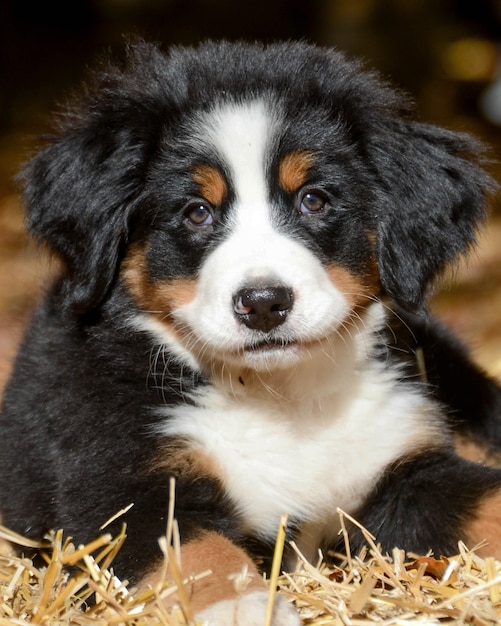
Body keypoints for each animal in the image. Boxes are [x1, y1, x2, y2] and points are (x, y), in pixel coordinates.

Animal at [0, 41, 500, 620]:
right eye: (197, 212)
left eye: (314, 200)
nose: (264, 304)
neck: (280, 398)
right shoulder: (122, 492)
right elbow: (200, 551)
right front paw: (240, 608)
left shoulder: (406, 472)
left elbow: (489, 500)